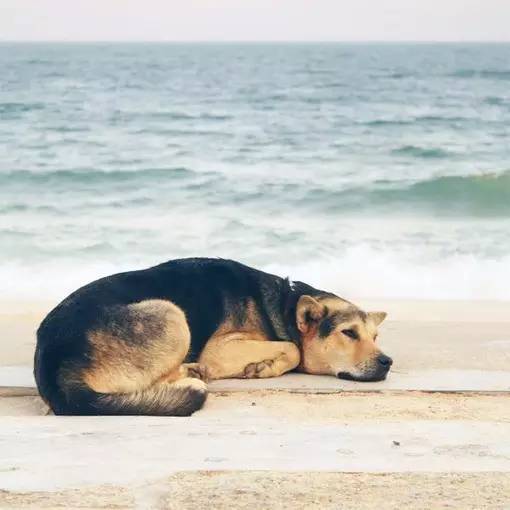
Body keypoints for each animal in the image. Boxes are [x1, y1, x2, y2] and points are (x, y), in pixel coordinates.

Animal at [33, 256, 390, 416]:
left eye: (375, 337)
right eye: (348, 333)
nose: (387, 362)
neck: (283, 304)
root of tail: (55, 368)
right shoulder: (220, 349)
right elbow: (293, 348)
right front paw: (264, 367)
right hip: (172, 314)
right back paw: (192, 372)